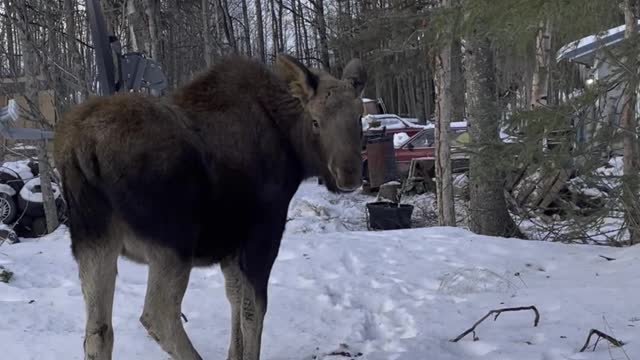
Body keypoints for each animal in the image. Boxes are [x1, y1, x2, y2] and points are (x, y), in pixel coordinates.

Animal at [53, 53, 368, 360]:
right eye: (315, 121)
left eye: (359, 118)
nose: (349, 175)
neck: (293, 150)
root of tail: (80, 149)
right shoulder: (263, 232)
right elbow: (254, 310)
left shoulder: (229, 247)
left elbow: (235, 300)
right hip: (174, 242)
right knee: (158, 316)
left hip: (93, 240)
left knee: (98, 331)